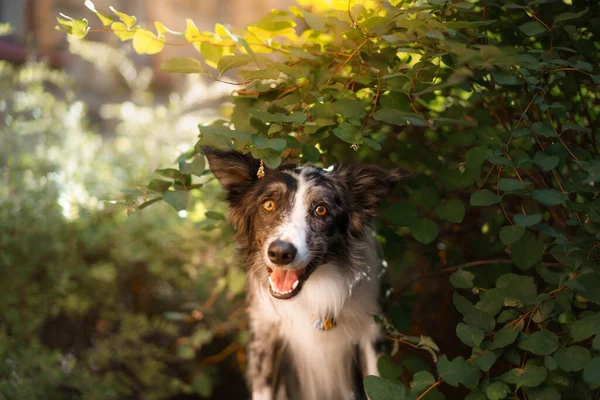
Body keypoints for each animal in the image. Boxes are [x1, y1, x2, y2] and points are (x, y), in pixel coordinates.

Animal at [202, 147, 404, 400]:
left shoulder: (371, 332)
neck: (310, 294)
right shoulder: (263, 336)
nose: (280, 253)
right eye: (269, 205)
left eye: (321, 210)